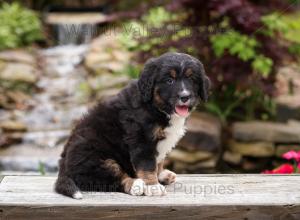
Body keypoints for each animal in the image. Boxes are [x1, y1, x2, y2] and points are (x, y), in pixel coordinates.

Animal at [55, 52, 211, 199]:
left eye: (191, 79)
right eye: (169, 81)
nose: (185, 97)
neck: (154, 106)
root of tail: (63, 167)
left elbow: (158, 161)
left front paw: (160, 174)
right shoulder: (141, 139)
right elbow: (147, 165)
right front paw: (153, 186)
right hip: (95, 157)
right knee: (107, 178)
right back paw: (135, 185)